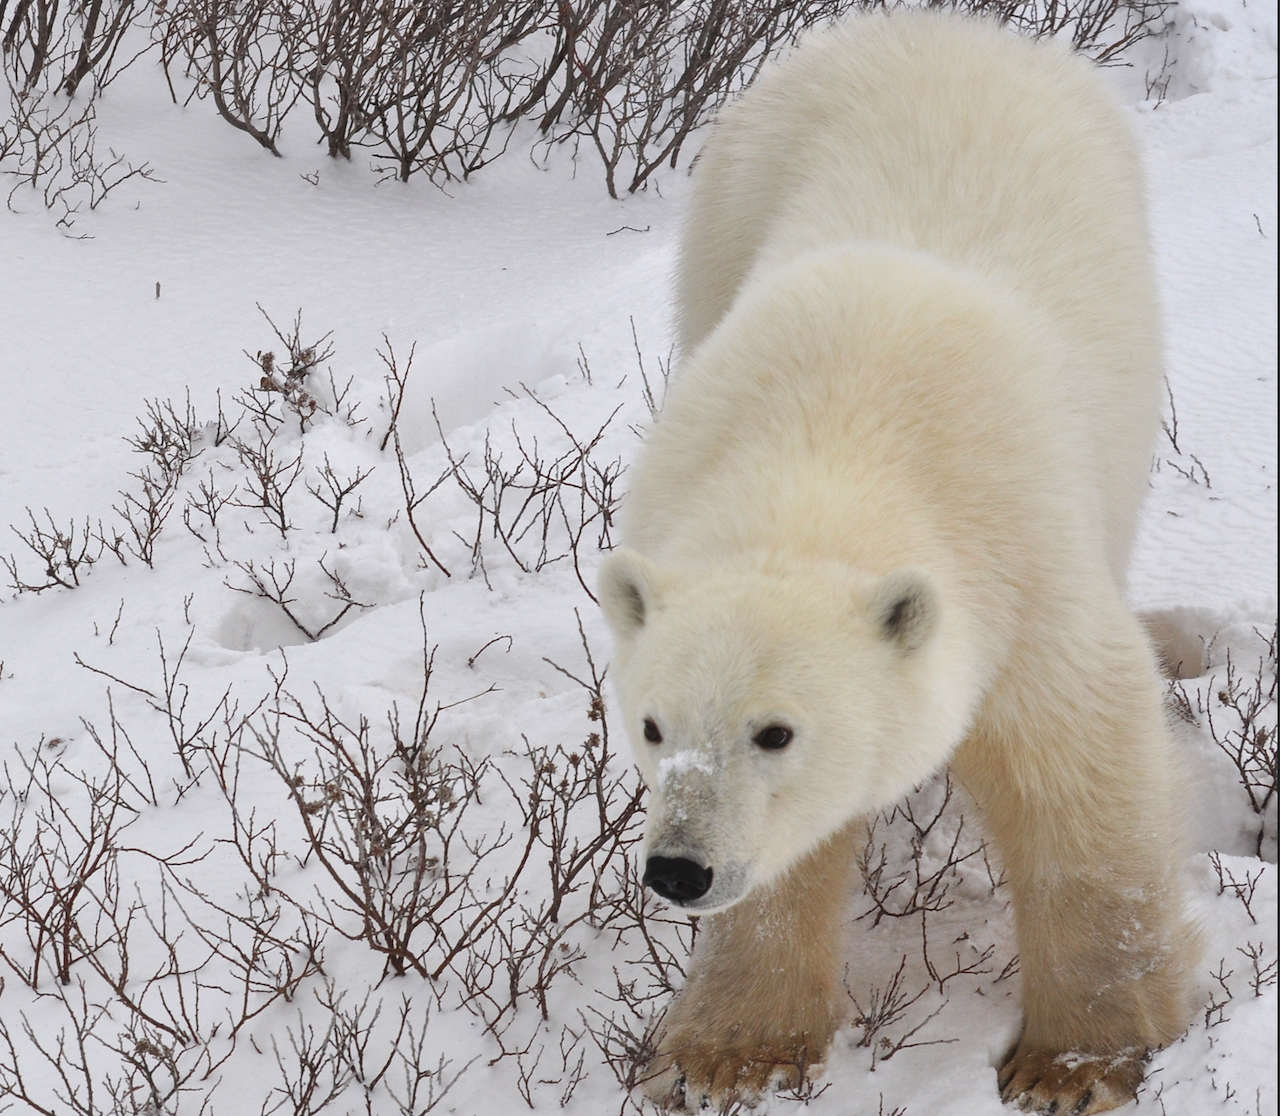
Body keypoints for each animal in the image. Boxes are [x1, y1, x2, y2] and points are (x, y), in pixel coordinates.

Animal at [599, 10, 1198, 1116]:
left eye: (776, 731)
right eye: (652, 726)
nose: (679, 870)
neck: (830, 455)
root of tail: (930, 23)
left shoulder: (1023, 576)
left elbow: (1078, 780)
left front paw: (1074, 1065)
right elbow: (789, 858)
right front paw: (728, 1053)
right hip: (723, 209)